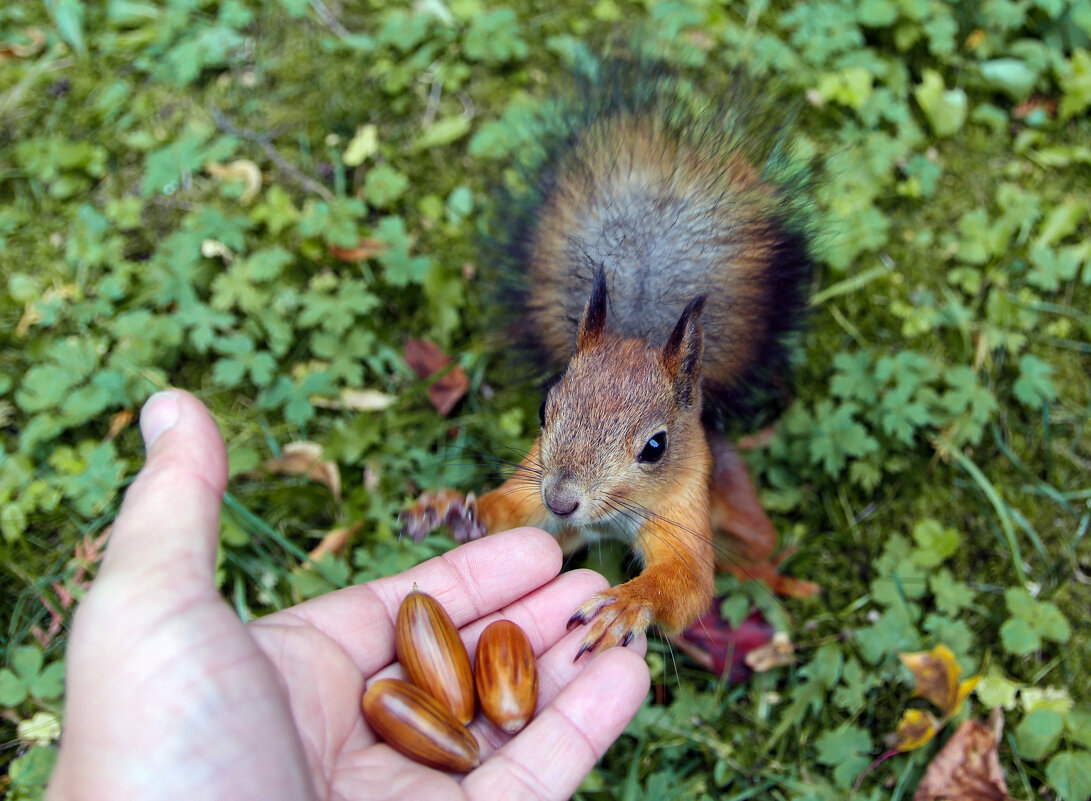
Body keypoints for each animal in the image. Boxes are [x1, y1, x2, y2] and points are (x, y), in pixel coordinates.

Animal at [399, 61, 811, 659]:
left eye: (656, 447)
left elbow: (689, 583)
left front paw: (626, 604)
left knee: (758, 550)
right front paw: (454, 508)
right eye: (545, 409)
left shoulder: (683, 513)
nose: (561, 500)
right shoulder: (535, 488)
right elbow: (513, 523)